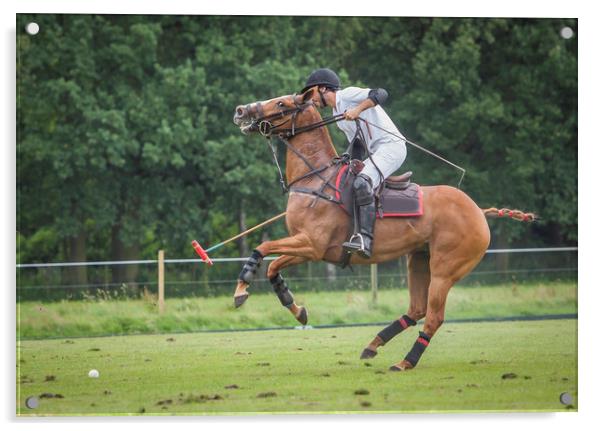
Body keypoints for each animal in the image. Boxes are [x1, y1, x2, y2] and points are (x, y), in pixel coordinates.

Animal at [231, 87, 536, 372]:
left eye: (281, 103)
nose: (240, 111)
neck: (316, 180)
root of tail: (479, 212)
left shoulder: (312, 244)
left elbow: (262, 249)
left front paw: (241, 290)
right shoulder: (309, 247)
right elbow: (273, 267)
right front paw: (297, 310)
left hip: (446, 268)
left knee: (434, 317)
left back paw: (405, 362)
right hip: (419, 259)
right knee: (416, 309)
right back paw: (373, 345)